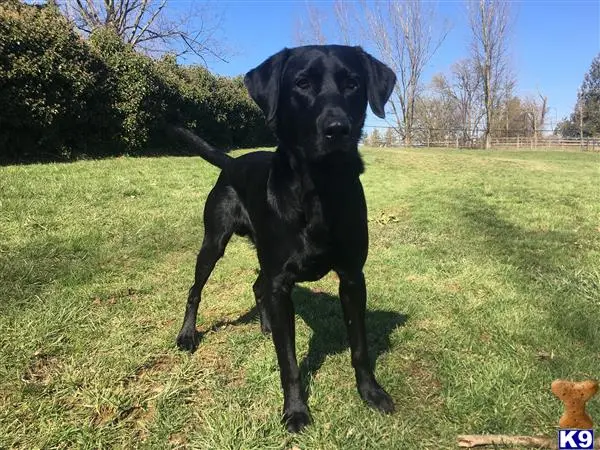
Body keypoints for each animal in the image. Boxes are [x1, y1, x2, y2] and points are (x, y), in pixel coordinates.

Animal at [173, 45, 396, 432]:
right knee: (196, 290)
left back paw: (265, 326)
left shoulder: (352, 278)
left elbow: (360, 347)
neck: (320, 192)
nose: (337, 129)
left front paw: (371, 392)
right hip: (214, 243)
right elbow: (288, 361)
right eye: (302, 83)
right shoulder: (282, 279)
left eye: (353, 83)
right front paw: (295, 411)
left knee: (257, 286)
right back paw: (188, 335)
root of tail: (231, 162)